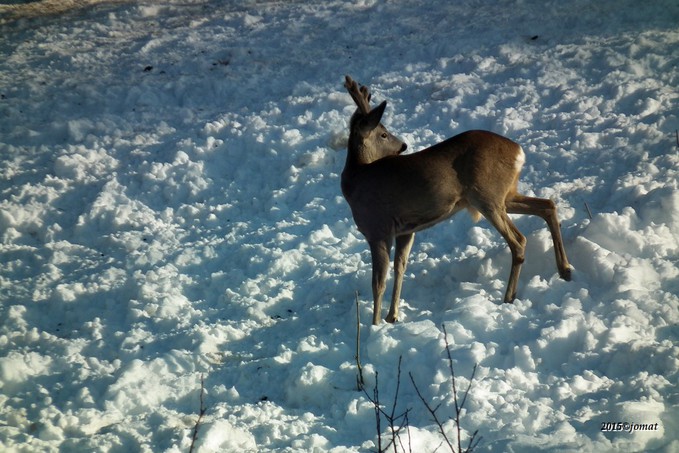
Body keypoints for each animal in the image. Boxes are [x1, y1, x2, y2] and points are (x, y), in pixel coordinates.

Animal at [342, 77, 572, 324]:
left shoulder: (377, 229)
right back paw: (565, 270)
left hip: (487, 197)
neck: (355, 178)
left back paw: (509, 296)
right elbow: (400, 267)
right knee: (547, 205)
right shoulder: (405, 230)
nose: (403, 146)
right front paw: (391, 317)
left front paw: (375, 324)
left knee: (519, 240)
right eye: (384, 134)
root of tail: (518, 151)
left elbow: (378, 282)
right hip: (505, 195)